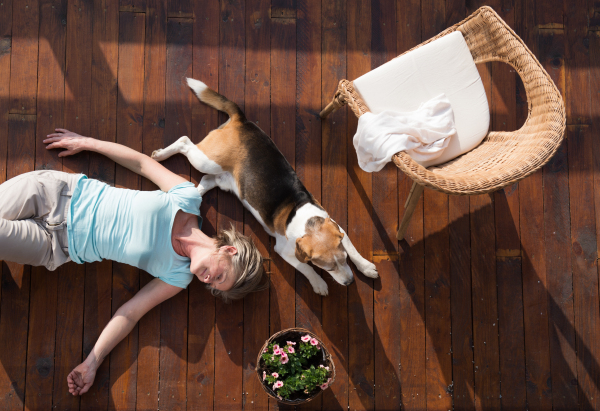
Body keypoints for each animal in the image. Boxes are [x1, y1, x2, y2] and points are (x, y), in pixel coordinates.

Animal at [150, 78, 378, 296]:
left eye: (344, 259)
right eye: (328, 268)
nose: (349, 282)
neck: (306, 222)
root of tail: (242, 121)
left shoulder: (338, 227)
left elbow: (352, 247)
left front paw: (366, 267)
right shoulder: (285, 252)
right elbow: (306, 268)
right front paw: (319, 283)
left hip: (221, 179)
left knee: (204, 182)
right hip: (206, 160)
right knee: (184, 141)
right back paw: (161, 156)